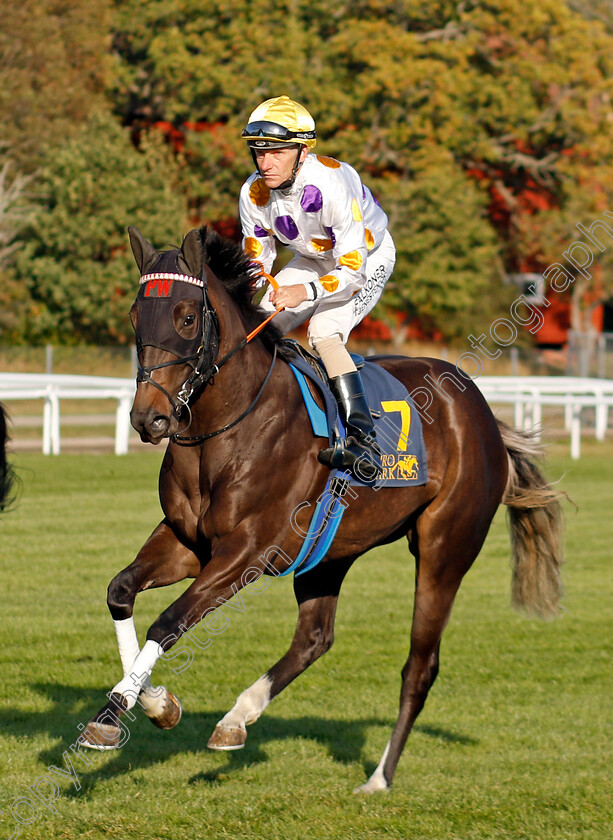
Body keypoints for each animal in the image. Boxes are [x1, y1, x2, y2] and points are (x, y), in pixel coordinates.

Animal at [79, 225, 560, 796]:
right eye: (136, 316)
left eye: (188, 317)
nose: (147, 419)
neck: (225, 427)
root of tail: (483, 413)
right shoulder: (186, 541)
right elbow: (121, 591)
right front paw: (140, 706)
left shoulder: (246, 552)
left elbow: (170, 622)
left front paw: (131, 704)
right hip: (329, 551)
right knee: (315, 638)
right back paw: (237, 718)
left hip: (444, 552)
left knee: (419, 667)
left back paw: (378, 778)